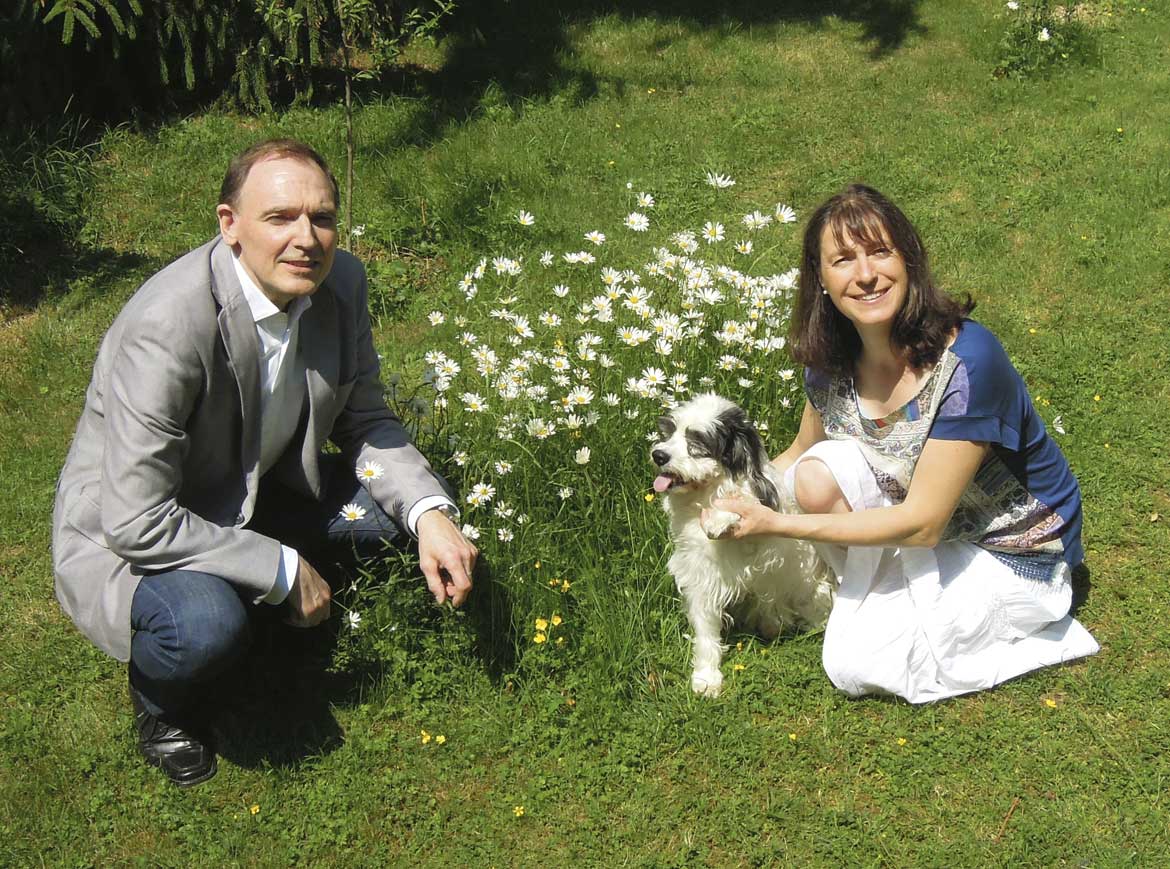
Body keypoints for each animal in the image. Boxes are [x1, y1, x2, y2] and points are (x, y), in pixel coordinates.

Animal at [655, 390, 837, 697]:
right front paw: (706, 676)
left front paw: (720, 517)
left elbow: (745, 503)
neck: (706, 493)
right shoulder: (701, 574)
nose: (658, 455)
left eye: (697, 441)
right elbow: (706, 632)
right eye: (670, 431)